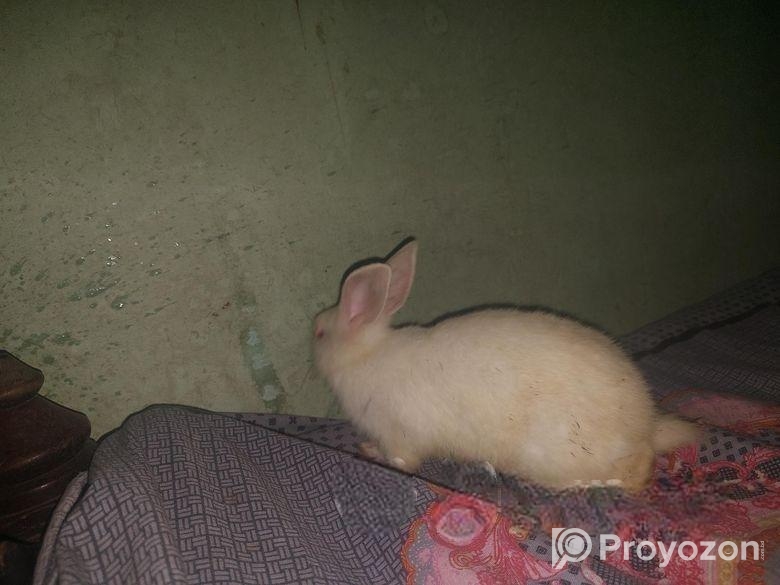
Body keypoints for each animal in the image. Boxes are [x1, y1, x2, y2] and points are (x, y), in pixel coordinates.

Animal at [313, 240, 700, 492]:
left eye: (319, 333)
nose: (311, 331)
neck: (365, 355)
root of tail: (646, 425)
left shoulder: (399, 436)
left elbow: (401, 462)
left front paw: (368, 452)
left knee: (637, 470)